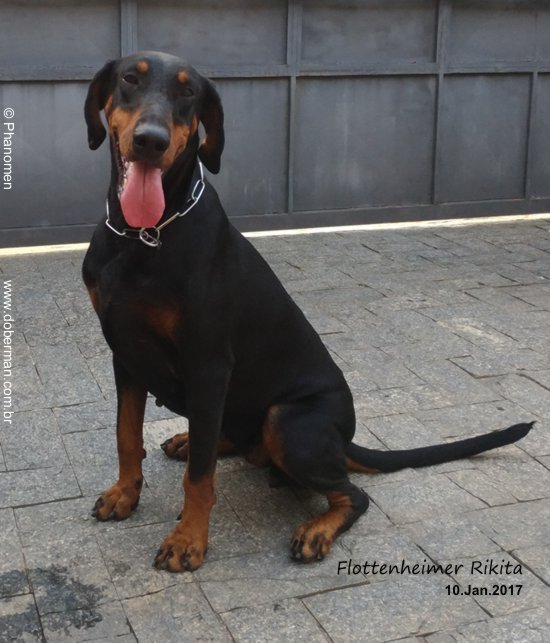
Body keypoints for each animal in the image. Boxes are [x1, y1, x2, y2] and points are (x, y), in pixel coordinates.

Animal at [82, 51, 533, 572]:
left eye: (188, 92)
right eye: (129, 79)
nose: (150, 141)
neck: (144, 235)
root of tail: (342, 437)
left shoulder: (208, 364)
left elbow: (199, 478)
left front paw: (188, 539)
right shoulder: (125, 352)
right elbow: (126, 436)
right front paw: (125, 494)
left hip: (289, 422)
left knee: (352, 494)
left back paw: (316, 530)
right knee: (222, 438)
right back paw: (190, 440)